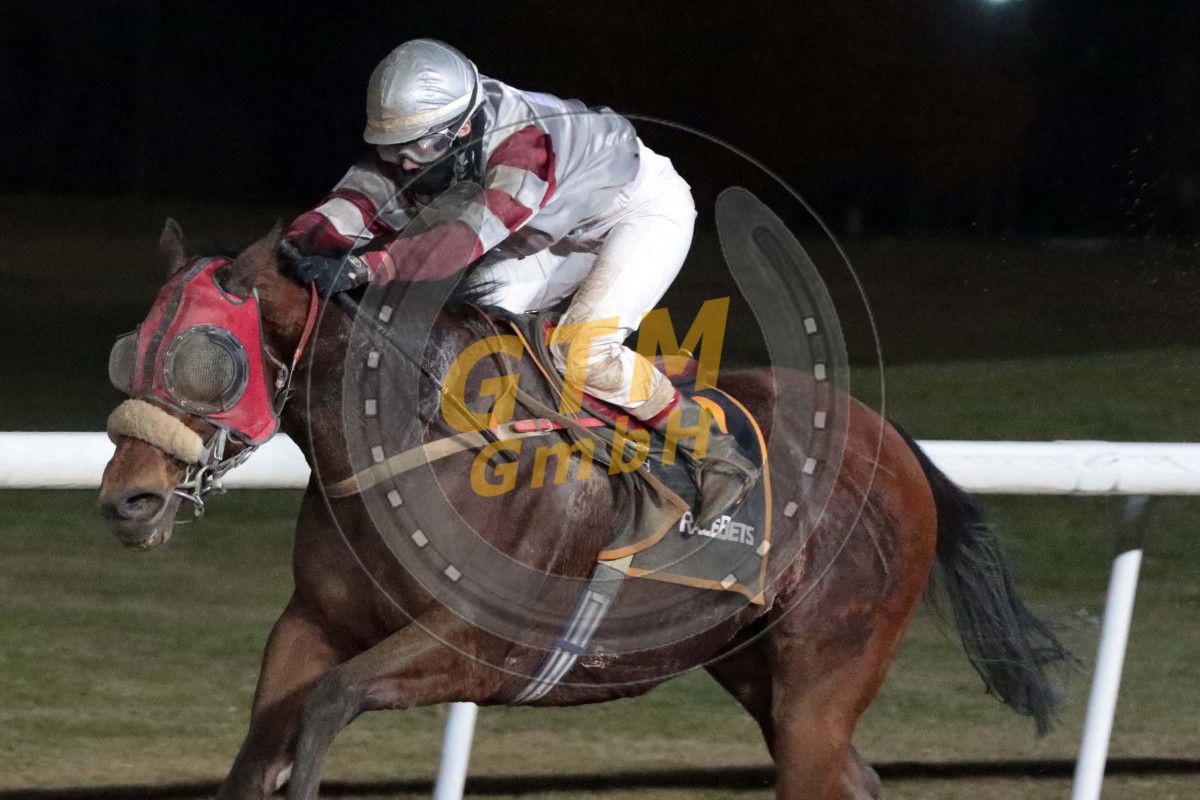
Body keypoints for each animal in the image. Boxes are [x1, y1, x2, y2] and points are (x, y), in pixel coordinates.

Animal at [98, 221, 1070, 800]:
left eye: (207, 360)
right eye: (130, 349)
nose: (127, 501)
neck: (411, 449)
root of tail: (893, 445)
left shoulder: (477, 647)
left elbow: (328, 706)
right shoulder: (311, 623)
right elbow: (266, 740)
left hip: (823, 680)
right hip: (749, 664)